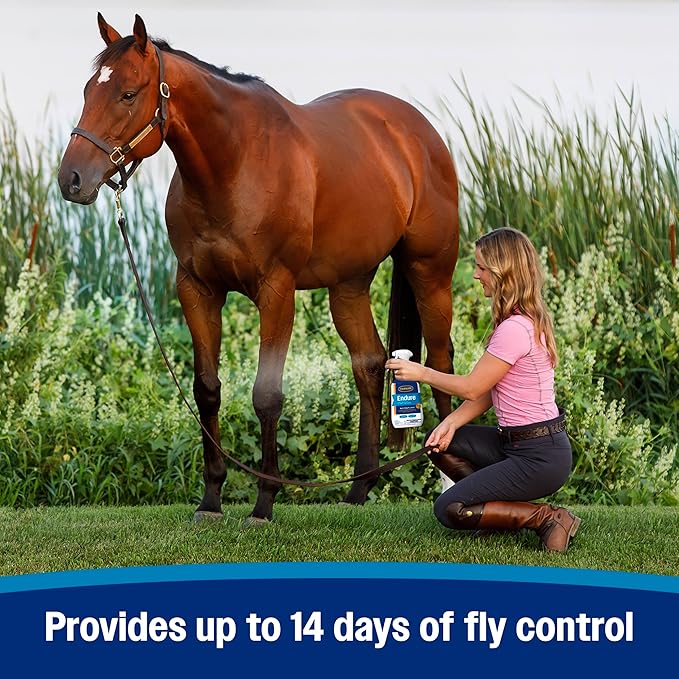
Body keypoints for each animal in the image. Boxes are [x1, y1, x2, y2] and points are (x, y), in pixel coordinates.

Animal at [58, 13, 459, 523]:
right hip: (348, 285)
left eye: (128, 94)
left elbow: (267, 396)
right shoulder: (197, 289)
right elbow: (207, 390)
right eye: (89, 89)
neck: (234, 164)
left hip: (430, 271)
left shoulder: (276, 291)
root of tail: (416, 131)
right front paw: (211, 500)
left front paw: (264, 504)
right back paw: (358, 489)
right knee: (368, 363)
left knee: (441, 361)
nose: (71, 179)